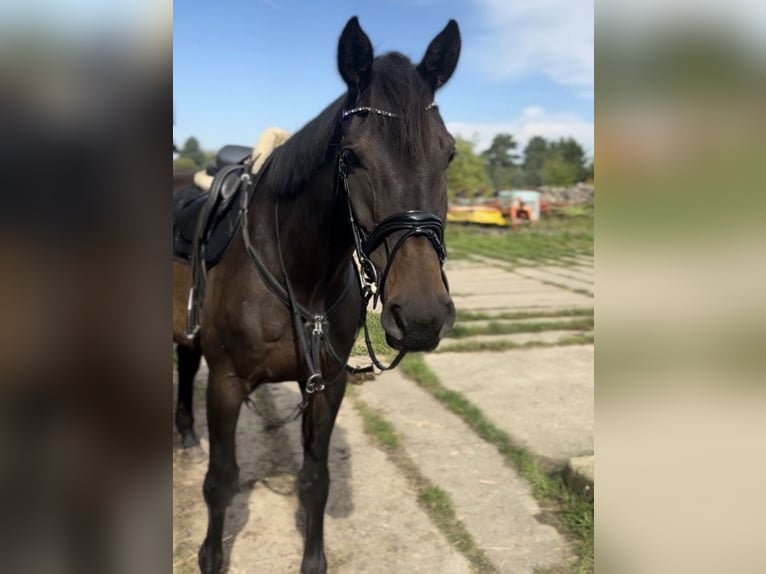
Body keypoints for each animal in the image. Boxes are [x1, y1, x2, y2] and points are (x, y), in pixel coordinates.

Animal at [172, 16, 461, 573]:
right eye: (351, 156)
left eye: (449, 153)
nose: (420, 316)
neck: (300, 277)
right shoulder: (226, 384)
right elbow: (220, 483)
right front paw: (211, 557)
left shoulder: (327, 387)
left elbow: (316, 481)